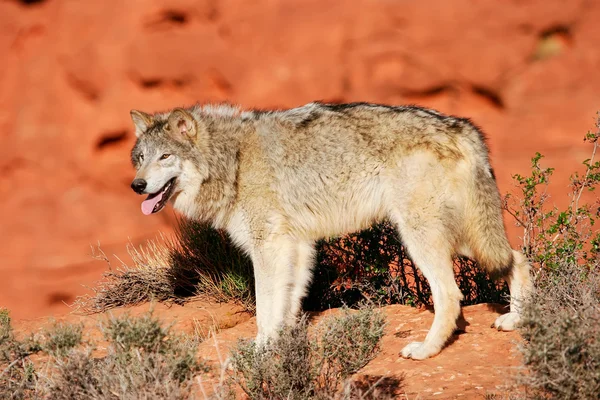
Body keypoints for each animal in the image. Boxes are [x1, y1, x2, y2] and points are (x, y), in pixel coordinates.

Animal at [129, 102, 532, 360]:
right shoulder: (297, 247)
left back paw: (425, 351)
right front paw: (281, 346)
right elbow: (286, 305)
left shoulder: (269, 247)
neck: (233, 161)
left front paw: (259, 352)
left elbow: (264, 309)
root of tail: (464, 127)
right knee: (519, 258)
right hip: (464, 239)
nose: (137, 185)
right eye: (141, 158)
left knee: (450, 295)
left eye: (165, 157)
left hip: (421, 239)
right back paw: (516, 319)